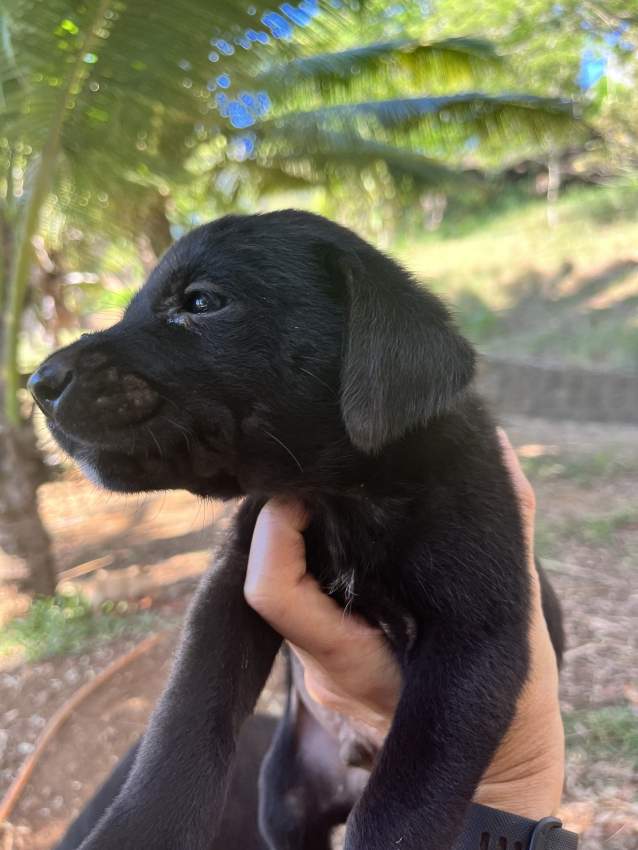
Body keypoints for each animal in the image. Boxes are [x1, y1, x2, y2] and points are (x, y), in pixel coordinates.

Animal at [31, 207, 564, 848]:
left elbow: (404, 800)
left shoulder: (474, 635)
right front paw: (138, 831)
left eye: (201, 302)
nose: (36, 383)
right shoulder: (231, 586)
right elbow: (183, 723)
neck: (340, 496)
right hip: (283, 796)